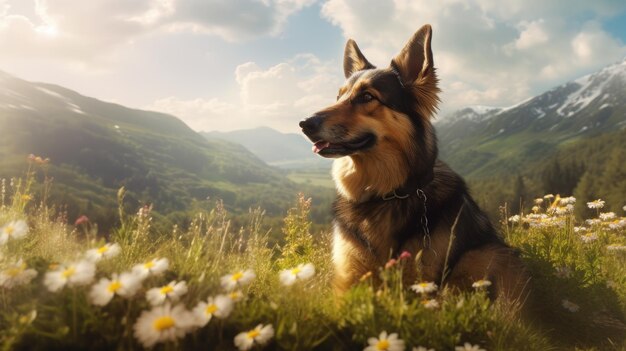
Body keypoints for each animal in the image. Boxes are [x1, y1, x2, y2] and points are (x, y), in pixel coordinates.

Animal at [298, 24, 528, 302]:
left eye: (367, 96)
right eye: (339, 97)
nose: (304, 124)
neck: (386, 195)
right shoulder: (348, 277)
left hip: (488, 254)